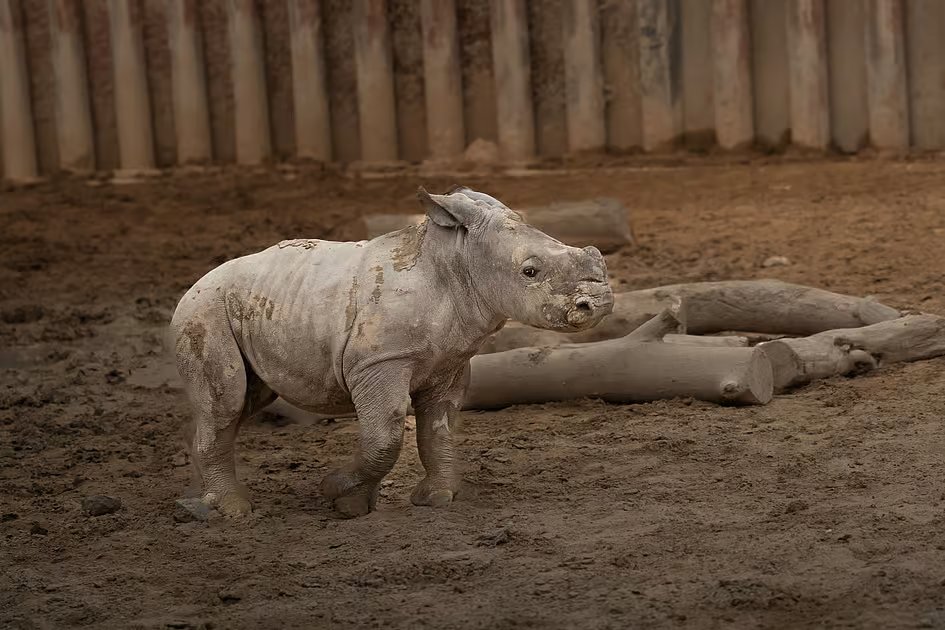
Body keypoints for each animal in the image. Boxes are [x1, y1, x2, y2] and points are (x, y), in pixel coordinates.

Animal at [170, 186, 614, 518]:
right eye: (530, 272)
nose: (599, 304)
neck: (459, 263)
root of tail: (195, 283)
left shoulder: (451, 361)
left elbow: (439, 429)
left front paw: (433, 499)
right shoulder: (380, 362)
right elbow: (385, 432)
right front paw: (336, 493)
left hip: (248, 305)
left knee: (242, 402)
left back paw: (198, 500)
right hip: (205, 309)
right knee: (226, 401)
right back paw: (232, 510)